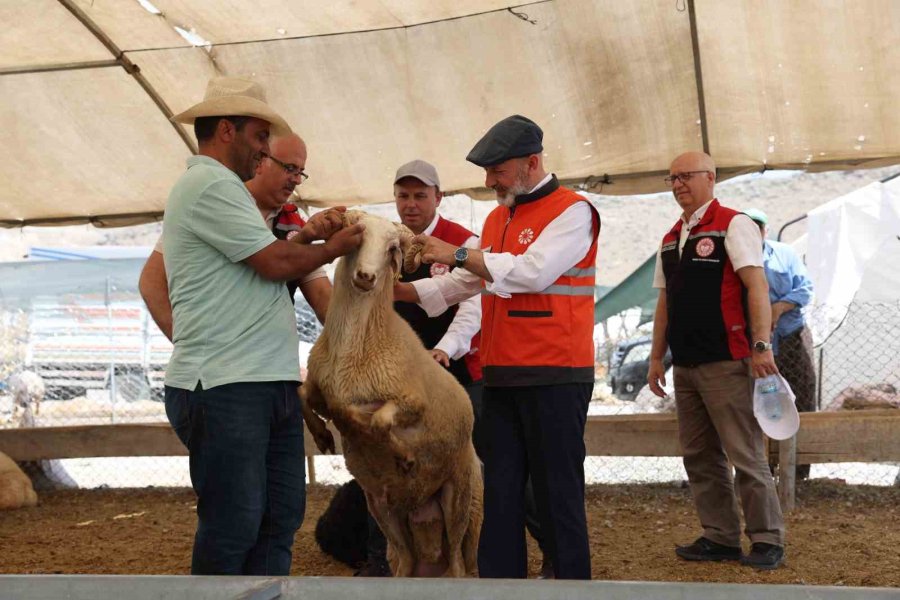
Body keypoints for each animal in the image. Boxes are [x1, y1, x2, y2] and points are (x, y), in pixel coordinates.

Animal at [300, 211, 486, 576]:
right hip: (385, 512)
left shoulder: (411, 401)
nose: (366, 277)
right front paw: (323, 437)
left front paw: (404, 456)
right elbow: (306, 396)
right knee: (407, 561)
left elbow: (376, 420)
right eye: (356, 237)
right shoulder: (319, 384)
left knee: (461, 564)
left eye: (391, 249)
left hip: (462, 500)